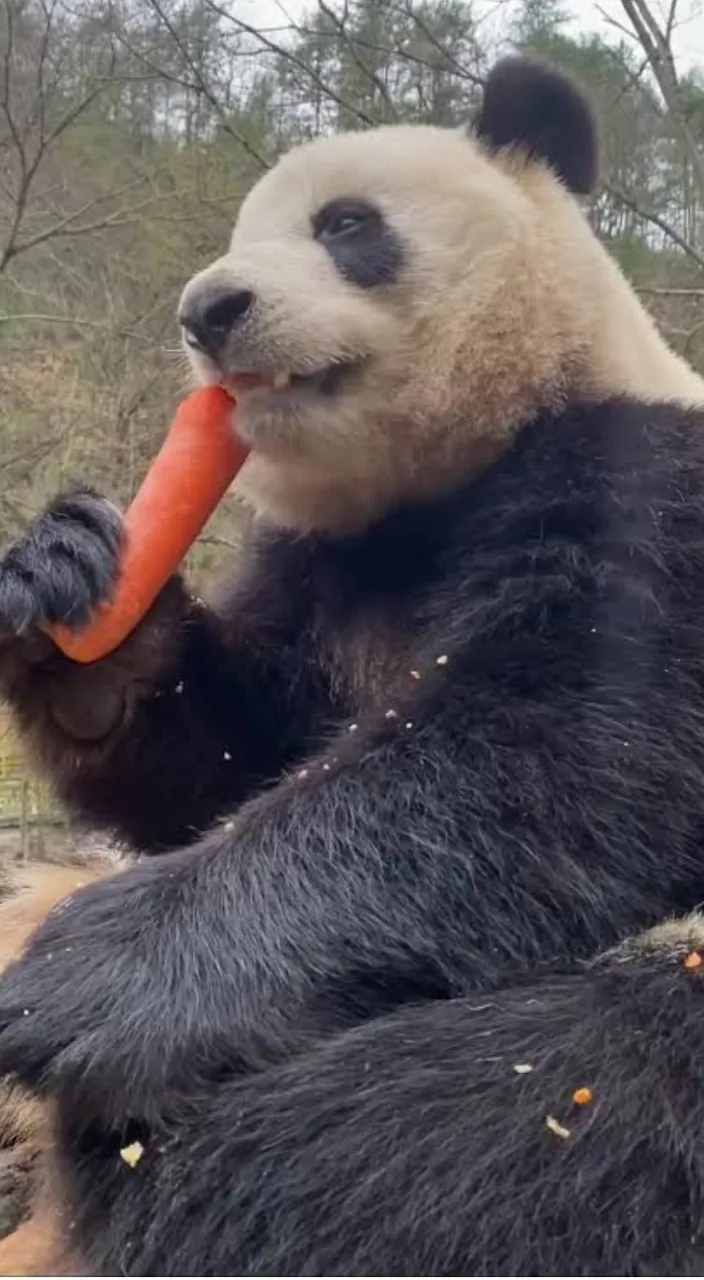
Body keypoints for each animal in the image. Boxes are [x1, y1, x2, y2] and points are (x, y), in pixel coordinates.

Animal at [0, 55, 704, 1274]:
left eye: (345, 226)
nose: (206, 311)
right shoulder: (321, 566)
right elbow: (233, 755)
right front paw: (76, 606)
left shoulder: (644, 488)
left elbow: (559, 755)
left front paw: (83, 977)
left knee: (466, 1120)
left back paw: (170, 1173)